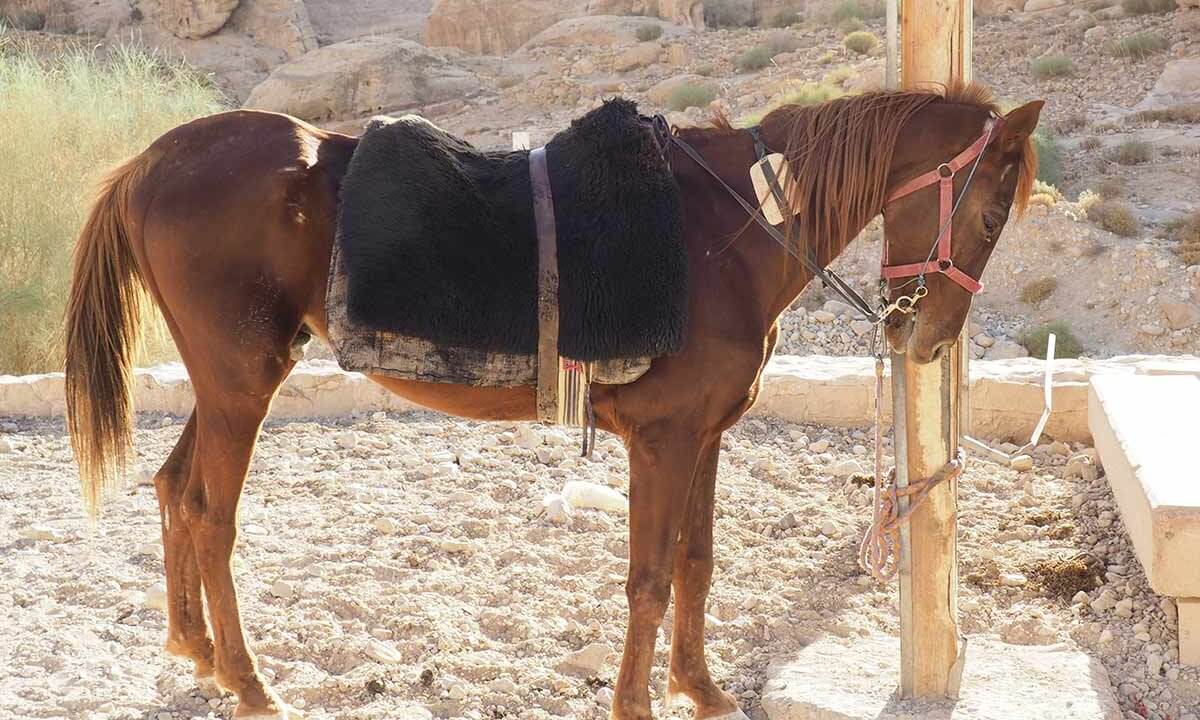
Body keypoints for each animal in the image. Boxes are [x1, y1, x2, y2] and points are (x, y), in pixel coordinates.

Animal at [63, 83, 1041, 720]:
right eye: (992, 215)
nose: (929, 339)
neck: (729, 229)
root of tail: (151, 160)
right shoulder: (661, 440)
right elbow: (649, 579)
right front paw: (638, 704)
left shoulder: (706, 437)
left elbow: (697, 564)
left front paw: (702, 691)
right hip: (240, 383)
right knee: (209, 513)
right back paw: (251, 683)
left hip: (228, 381)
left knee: (173, 490)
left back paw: (198, 655)